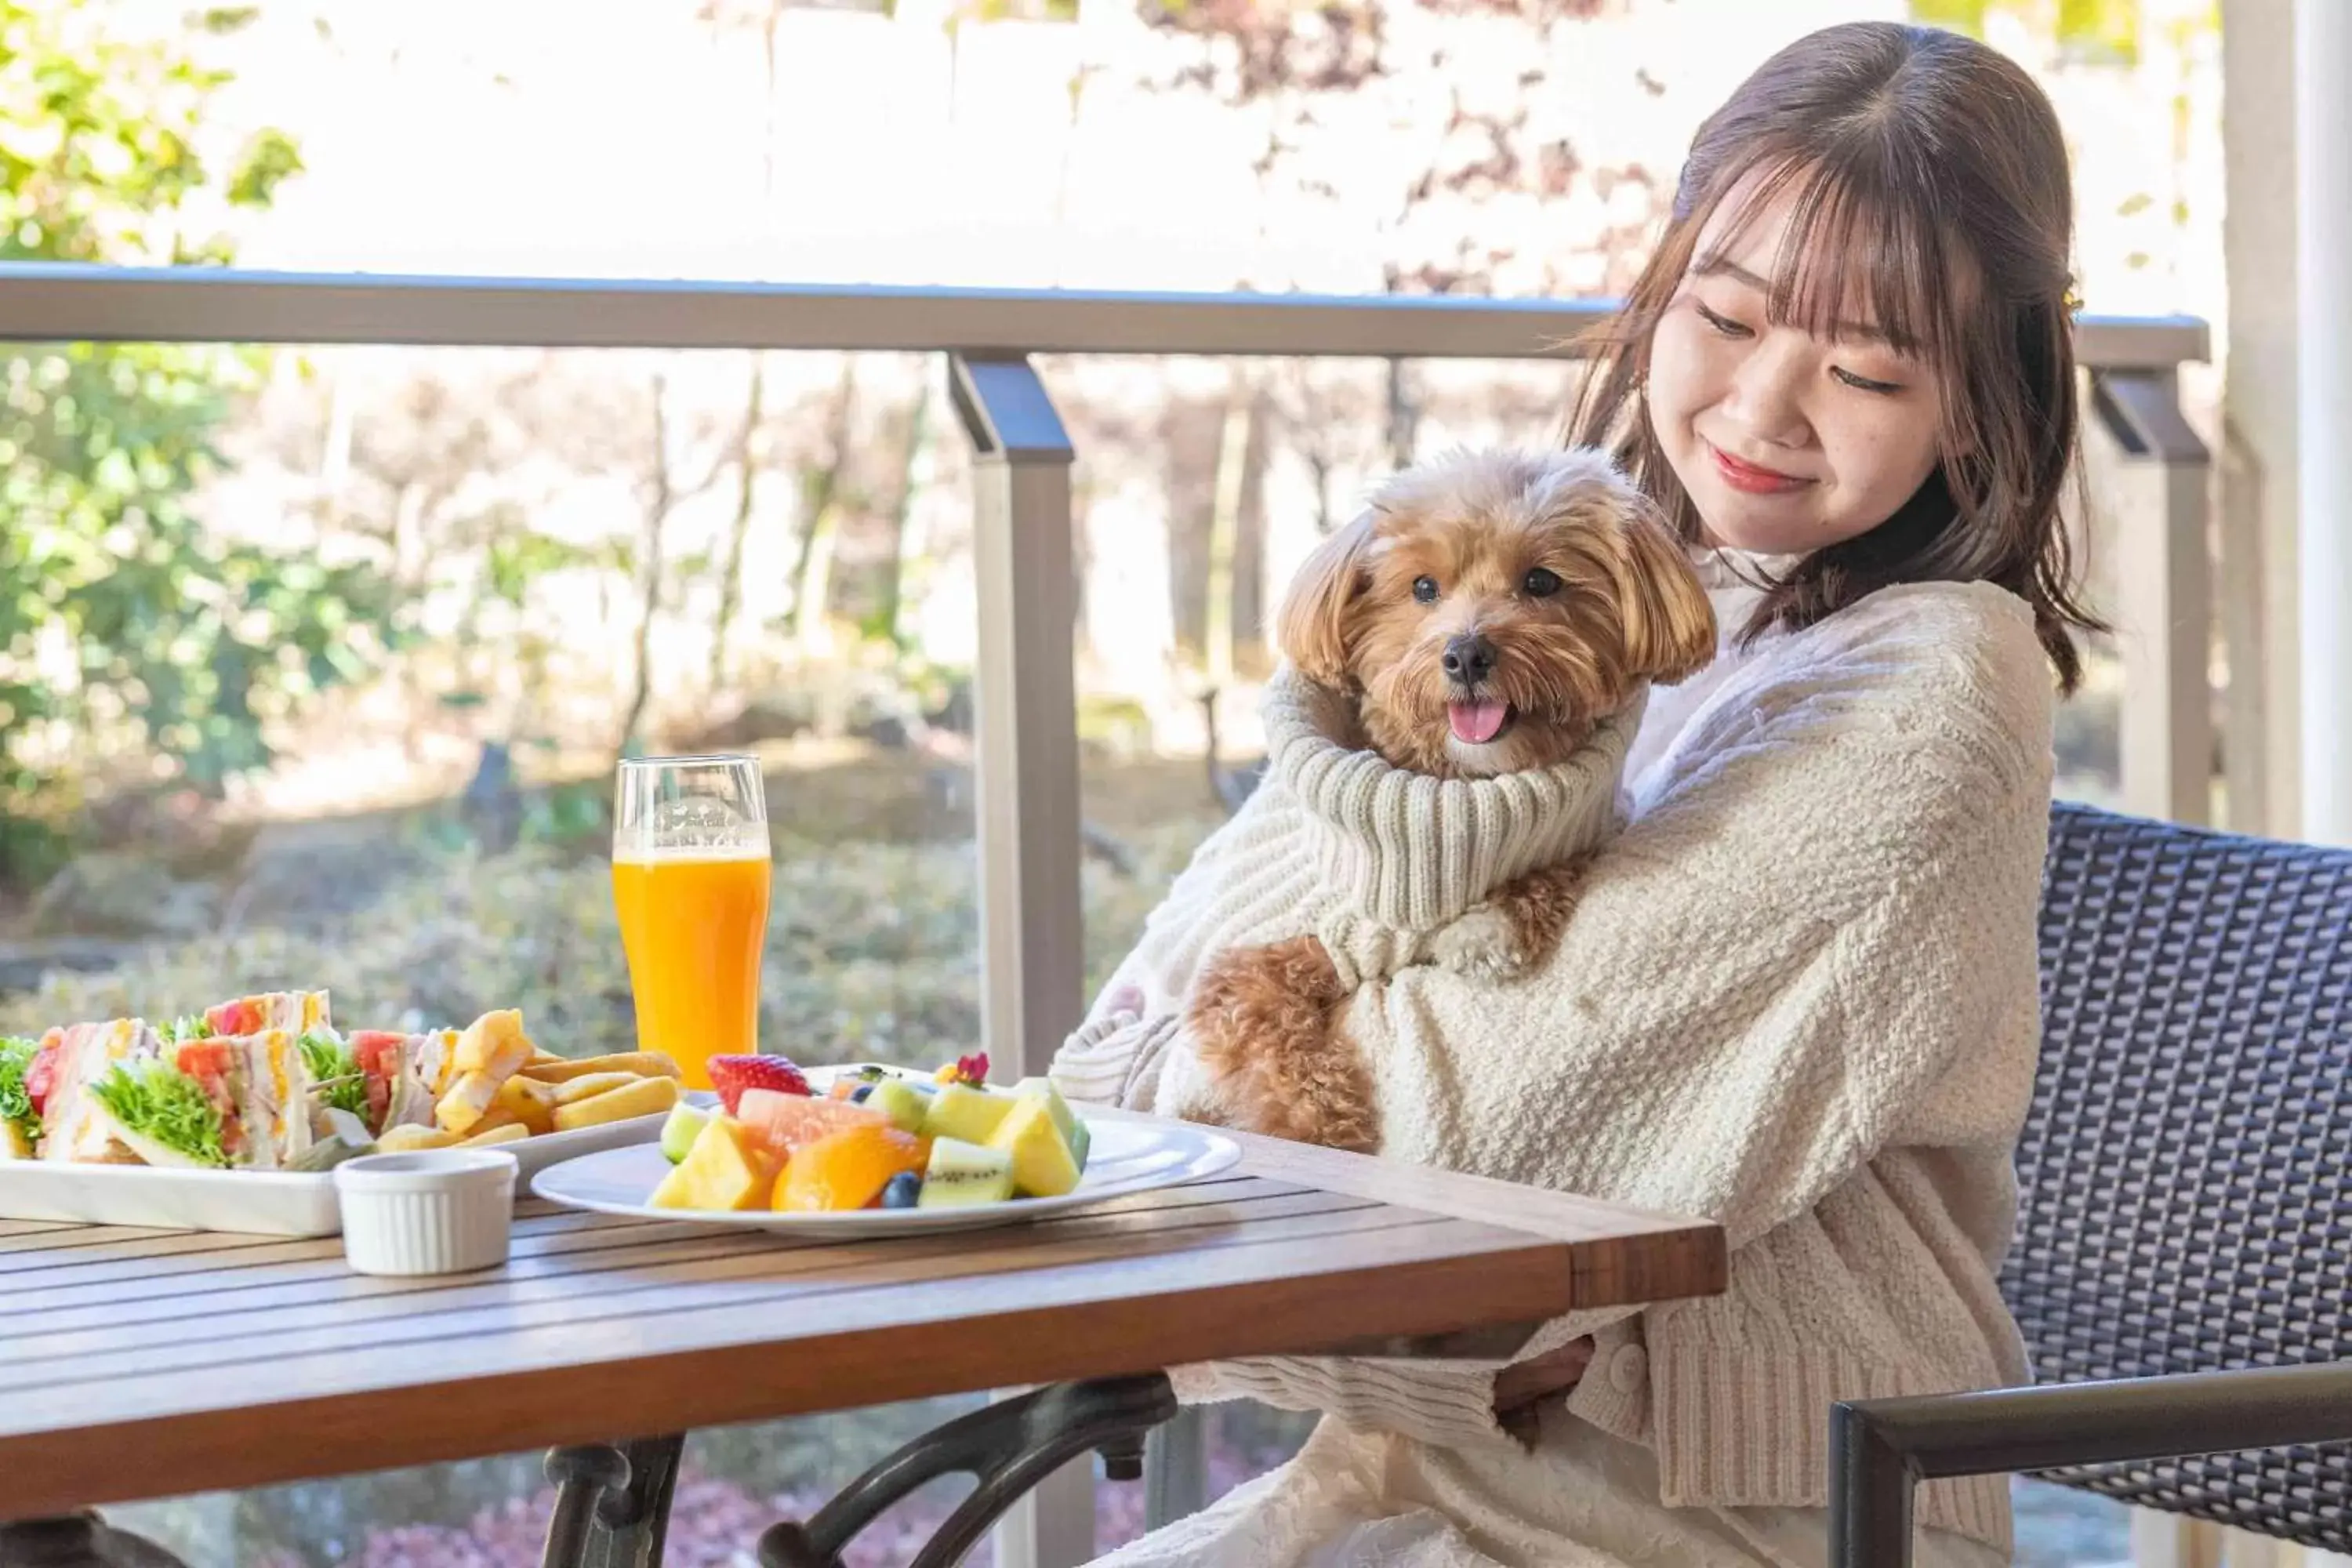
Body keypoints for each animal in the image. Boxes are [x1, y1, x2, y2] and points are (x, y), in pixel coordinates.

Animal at [1195, 444, 1712, 1152]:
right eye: (1422, 589)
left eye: (1542, 582)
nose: (1466, 654)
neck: (1451, 799)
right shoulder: (1248, 968)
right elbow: (1284, 1064)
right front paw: (1318, 1134)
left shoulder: (1584, 829)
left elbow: (1552, 868)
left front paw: (1488, 927)